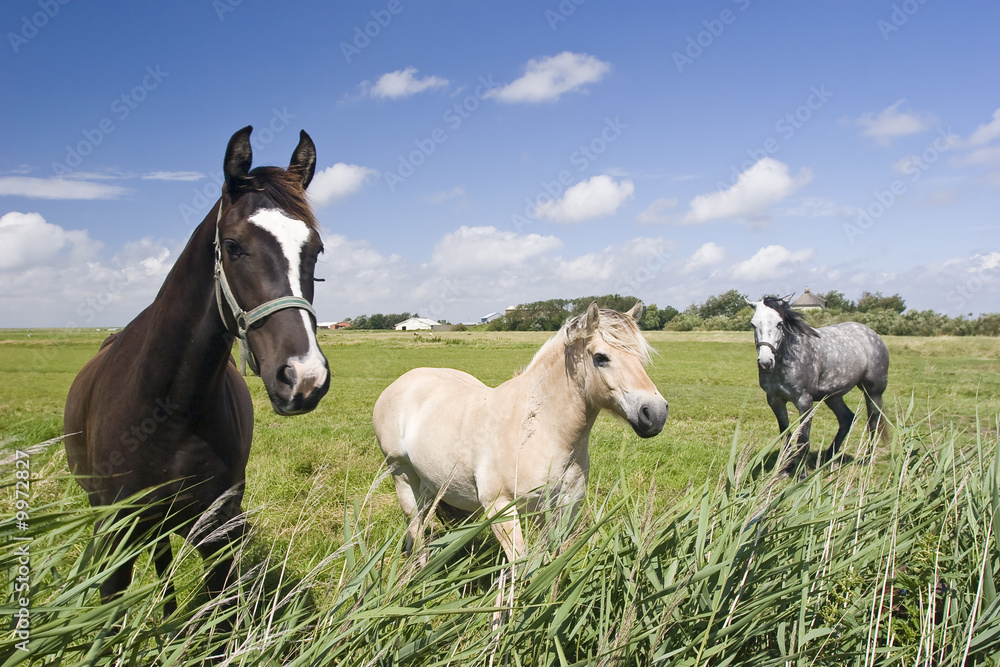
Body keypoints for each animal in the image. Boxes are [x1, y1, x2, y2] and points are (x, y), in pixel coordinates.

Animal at [63, 126, 330, 618]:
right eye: (234, 246)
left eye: (315, 251)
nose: (304, 377)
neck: (169, 405)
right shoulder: (114, 534)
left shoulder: (217, 534)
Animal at [372, 301, 668, 585]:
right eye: (600, 358)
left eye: (641, 358)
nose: (655, 414)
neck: (537, 430)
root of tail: (403, 381)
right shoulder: (500, 508)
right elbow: (522, 565)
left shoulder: (561, 509)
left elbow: (549, 561)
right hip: (402, 474)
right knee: (414, 523)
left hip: (429, 481)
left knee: (419, 522)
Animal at [747, 296, 889, 474]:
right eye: (753, 324)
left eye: (779, 323)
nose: (765, 363)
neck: (789, 358)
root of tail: (872, 334)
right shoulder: (775, 400)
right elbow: (786, 435)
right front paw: (786, 468)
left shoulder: (804, 402)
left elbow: (803, 440)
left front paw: (801, 474)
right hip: (833, 396)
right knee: (847, 419)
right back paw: (828, 457)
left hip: (873, 392)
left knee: (873, 422)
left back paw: (867, 459)